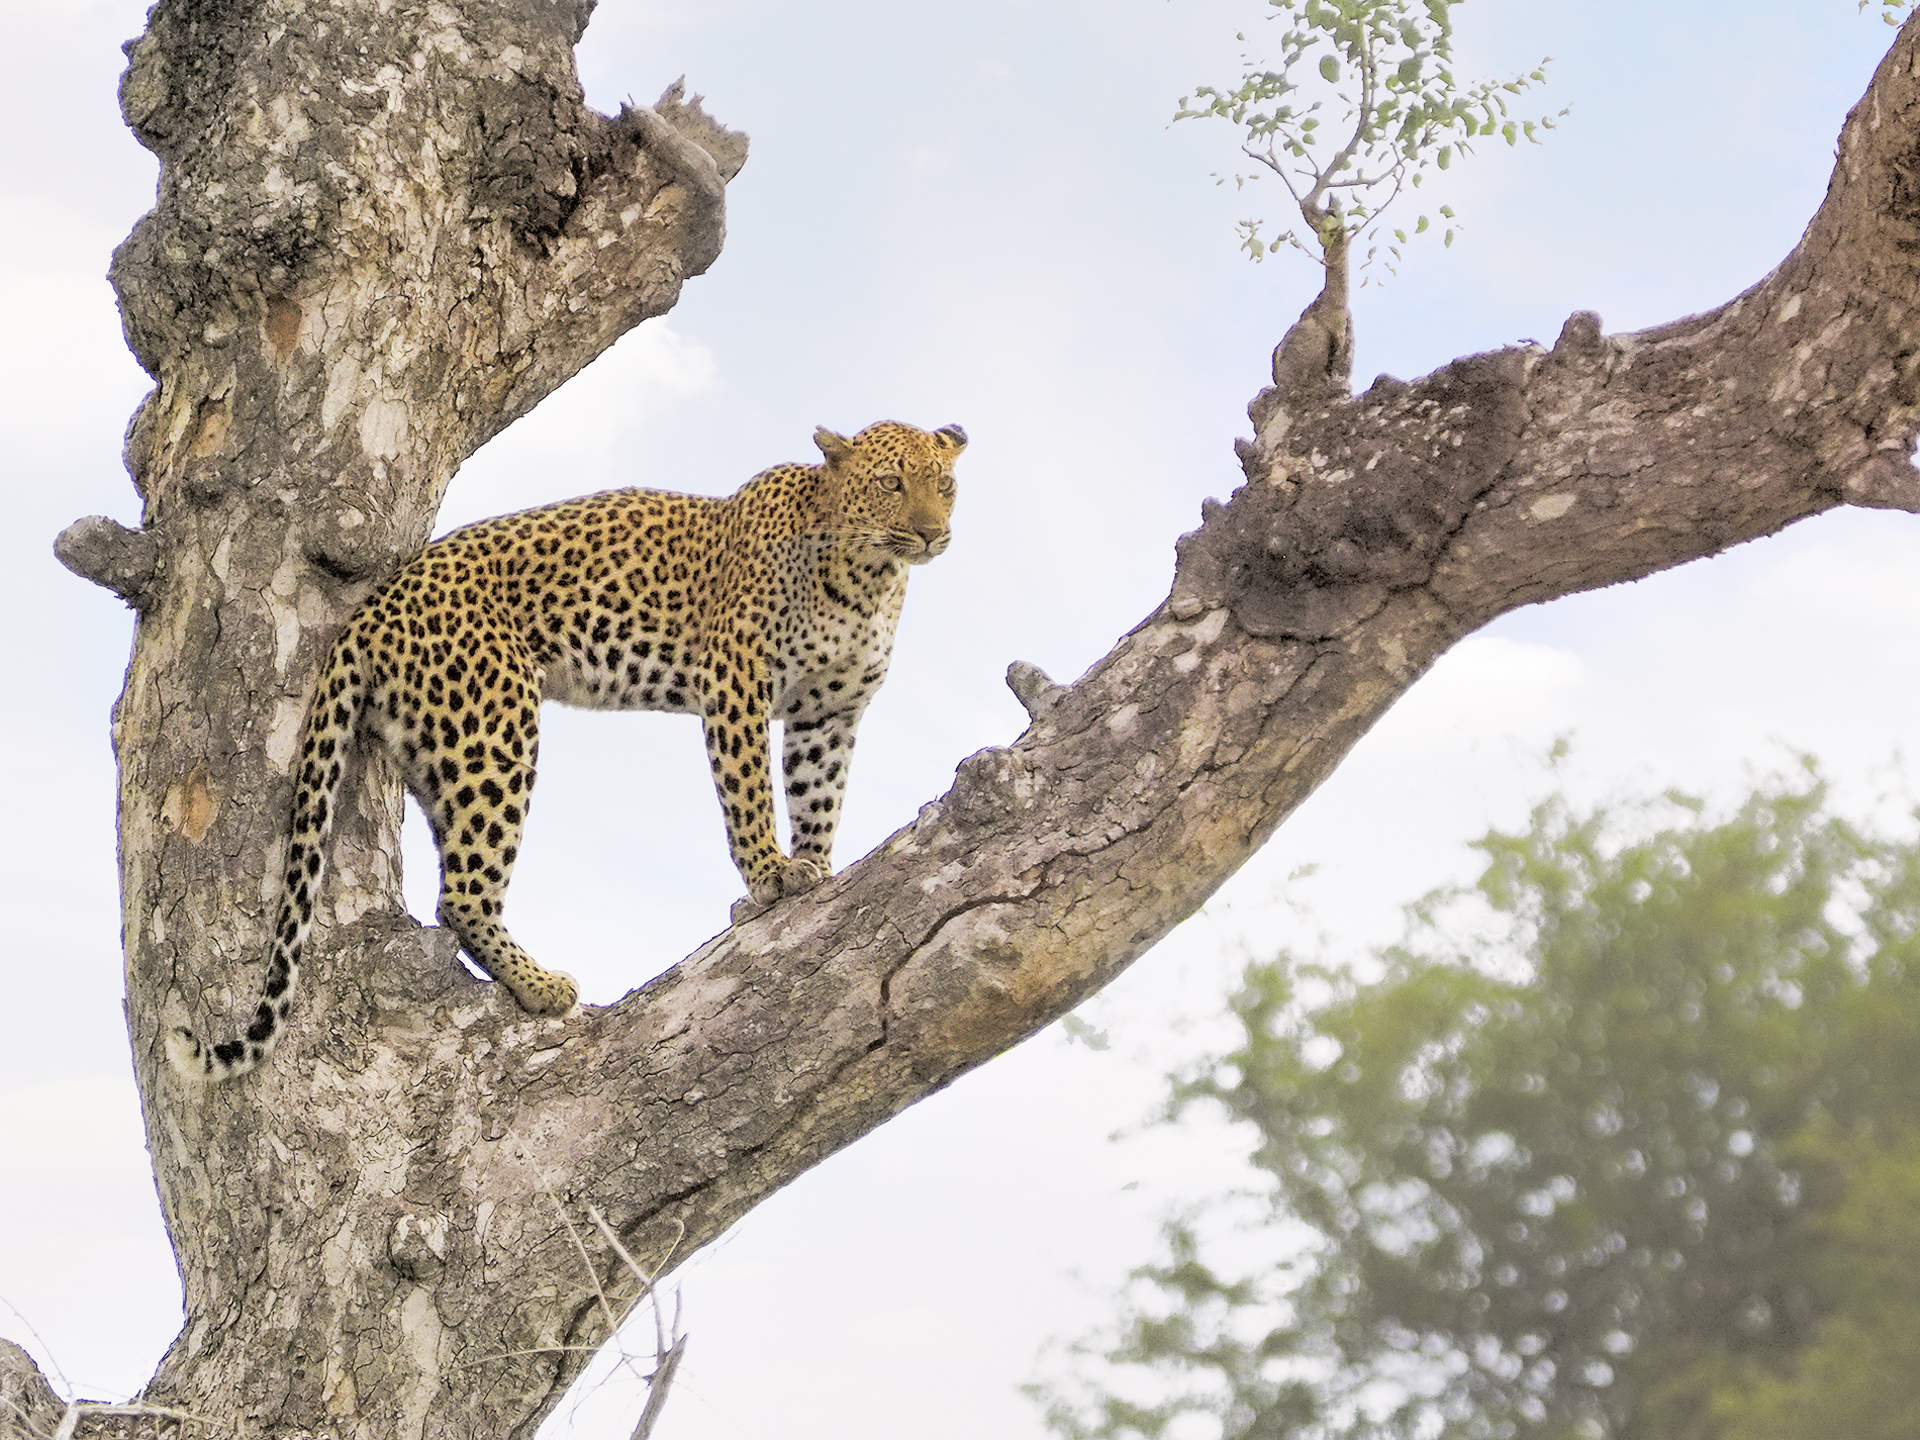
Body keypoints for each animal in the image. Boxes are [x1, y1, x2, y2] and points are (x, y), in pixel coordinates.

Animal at [167, 419, 967, 1082]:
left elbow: (817, 794)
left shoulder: (828, 712)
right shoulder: (735, 678)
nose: (933, 535)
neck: (868, 579)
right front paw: (771, 875)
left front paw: (818, 869)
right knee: (461, 893)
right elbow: (749, 791)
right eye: (891, 483)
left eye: (946, 483)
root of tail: (376, 605)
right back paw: (542, 986)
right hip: (496, 728)